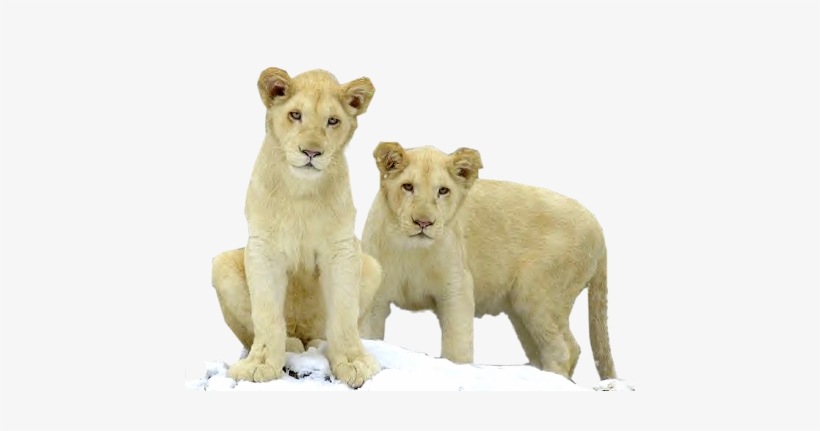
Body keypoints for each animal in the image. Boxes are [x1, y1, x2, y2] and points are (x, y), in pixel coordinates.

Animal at [211, 67, 382, 388]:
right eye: (295, 115)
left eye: (332, 120)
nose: (311, 152)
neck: (302, 191)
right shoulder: (262, 248)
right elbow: (266, 314)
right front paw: (260, 364)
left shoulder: (342, 249)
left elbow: (344, 315)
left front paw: (353, 362)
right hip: (222, 263)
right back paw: (290, 344)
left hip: (372, 265)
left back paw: (316, 344)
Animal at [359, 142, 618, 382]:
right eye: (407, 186)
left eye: (443, 190)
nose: (424, 222)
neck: (410, 250)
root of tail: (598, 227)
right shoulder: (375, 296)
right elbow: (368, 336)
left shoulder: (457, 286)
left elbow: (457, 346)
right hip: (521, 310)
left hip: (538, 294)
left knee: (566, 349)